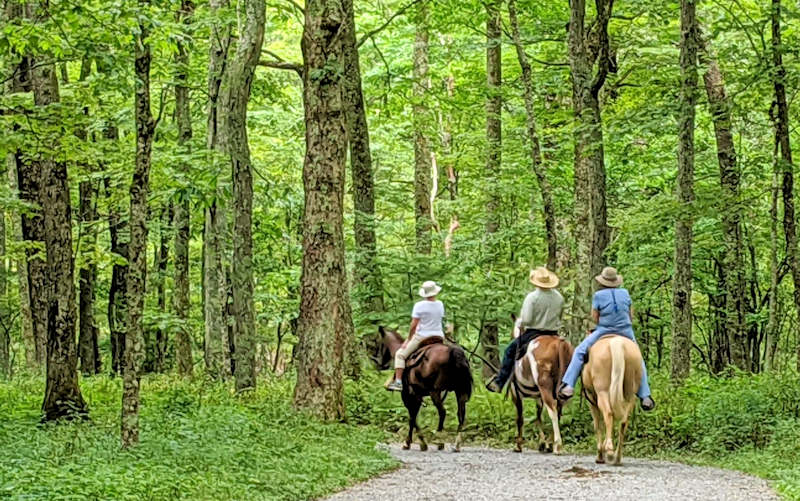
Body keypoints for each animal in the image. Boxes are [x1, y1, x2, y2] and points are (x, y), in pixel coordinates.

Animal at [510, 320, 572, 454]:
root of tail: (559, 343)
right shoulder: (538, 397)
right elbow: (539, 416)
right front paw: (542, 443)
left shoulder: (515, 393)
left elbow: (520, 418)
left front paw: (518, 445)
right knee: (558, 410)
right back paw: (551, 442)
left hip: (545, 386)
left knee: (552, 408)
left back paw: (557, 445)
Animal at [580, 334, 640, 462]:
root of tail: (617, 342)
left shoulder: (591, 401)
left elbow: (597, 424)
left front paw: (600, 454)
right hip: (630, 394)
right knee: (623, 421)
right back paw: (617, 456)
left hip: (602, 393)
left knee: (608, 414)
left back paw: (608, 450)